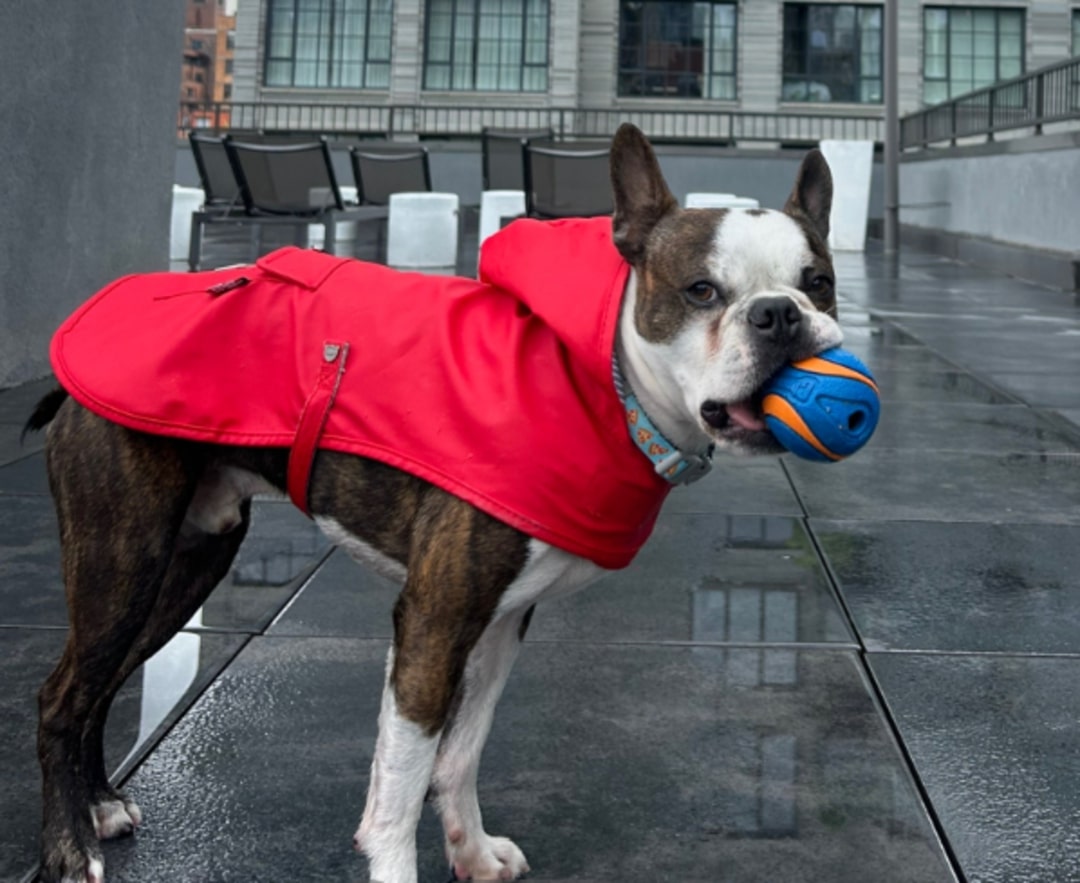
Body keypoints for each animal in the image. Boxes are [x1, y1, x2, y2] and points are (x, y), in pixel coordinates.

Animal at [27, 125, 842, 880]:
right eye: (702, 291)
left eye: (820, 282)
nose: (780, 314)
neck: (605, 383)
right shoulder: (434, 618)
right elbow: (398, 788)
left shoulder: (500, 621)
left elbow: (460, 754)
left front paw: (472, 852)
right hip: (122, 557)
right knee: (63, 696)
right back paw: (71, 847)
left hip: (185, 563)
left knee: (103, 680)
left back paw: (100, 804)